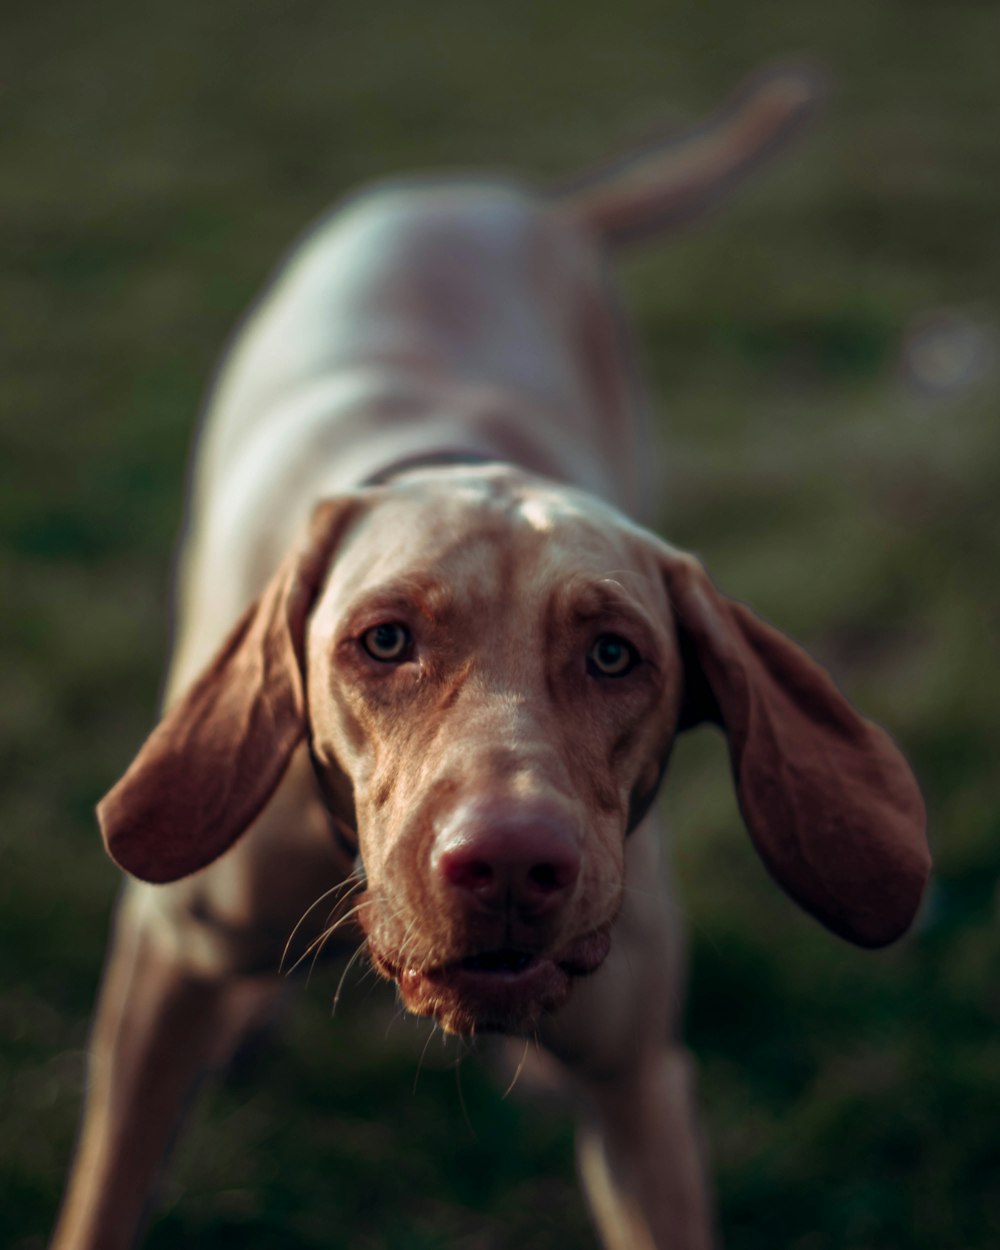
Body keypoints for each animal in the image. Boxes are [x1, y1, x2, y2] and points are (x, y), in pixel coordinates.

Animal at [52, 65, 930, 1250]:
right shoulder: (160, 967)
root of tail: (515, 200)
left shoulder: (641, 1089)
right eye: (383, 641)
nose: (511, 864)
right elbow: (108, 1185)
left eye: (614, 654)